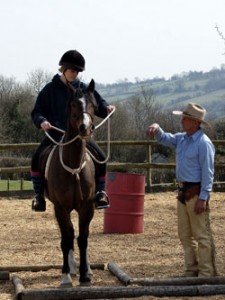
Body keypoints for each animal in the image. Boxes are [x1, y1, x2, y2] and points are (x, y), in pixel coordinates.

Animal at [40, 79, 97, 286]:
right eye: (73, 104)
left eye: (93, 104)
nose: (85, 128)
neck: (73, 167)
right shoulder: (60, 208)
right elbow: (66, 239)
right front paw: (65, 276)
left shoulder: (87, 207)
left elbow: (83, 238)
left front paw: (85, 275)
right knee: (69, 233)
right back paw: (71, 268)